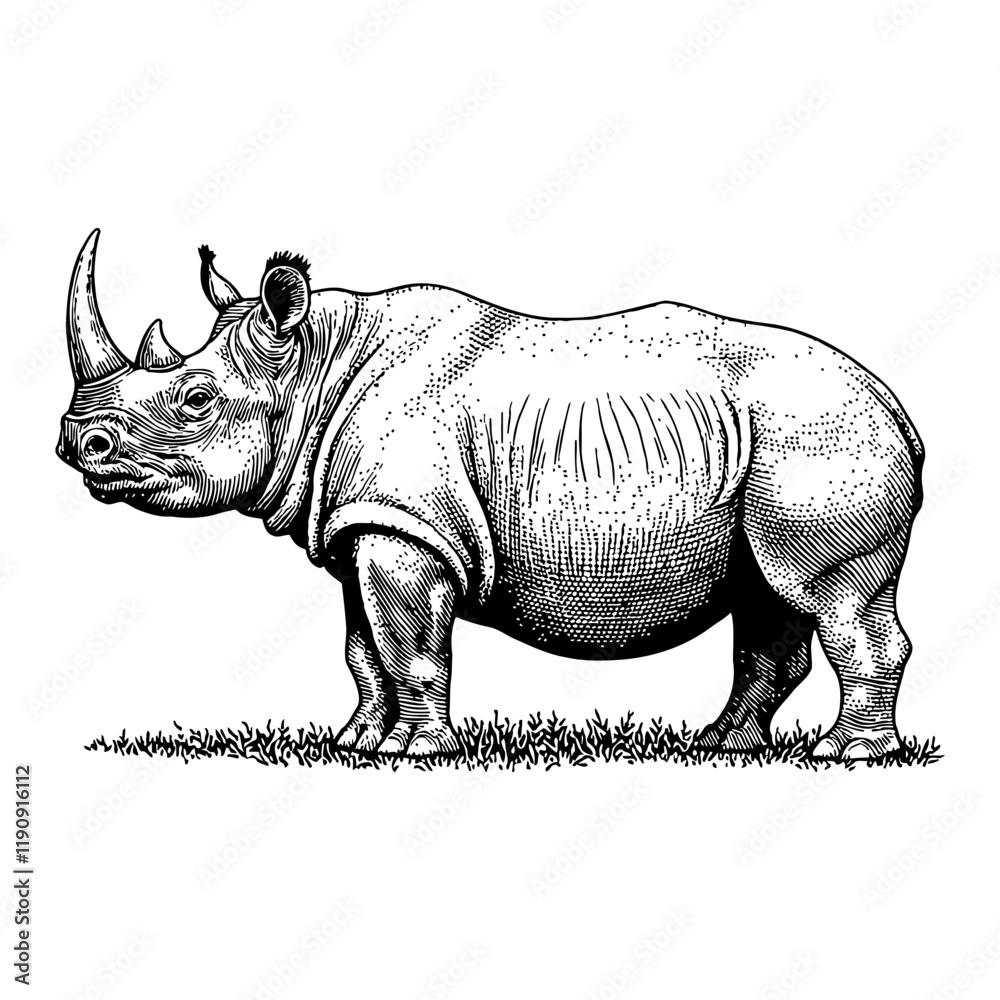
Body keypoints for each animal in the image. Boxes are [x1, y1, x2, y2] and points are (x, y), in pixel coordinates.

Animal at [58, 230, 924, 760]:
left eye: (195, 399)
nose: (77, 441)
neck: (313, 367)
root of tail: (896, 406)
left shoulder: (410, 530)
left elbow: (407, 645)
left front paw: (413, 752)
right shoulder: (364, 526)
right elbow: (363, 649)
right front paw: (354, 743)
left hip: (821, 436)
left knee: (830, 596)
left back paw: (847, 754)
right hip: (785, 440)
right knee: (769, 590)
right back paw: (722, 746)